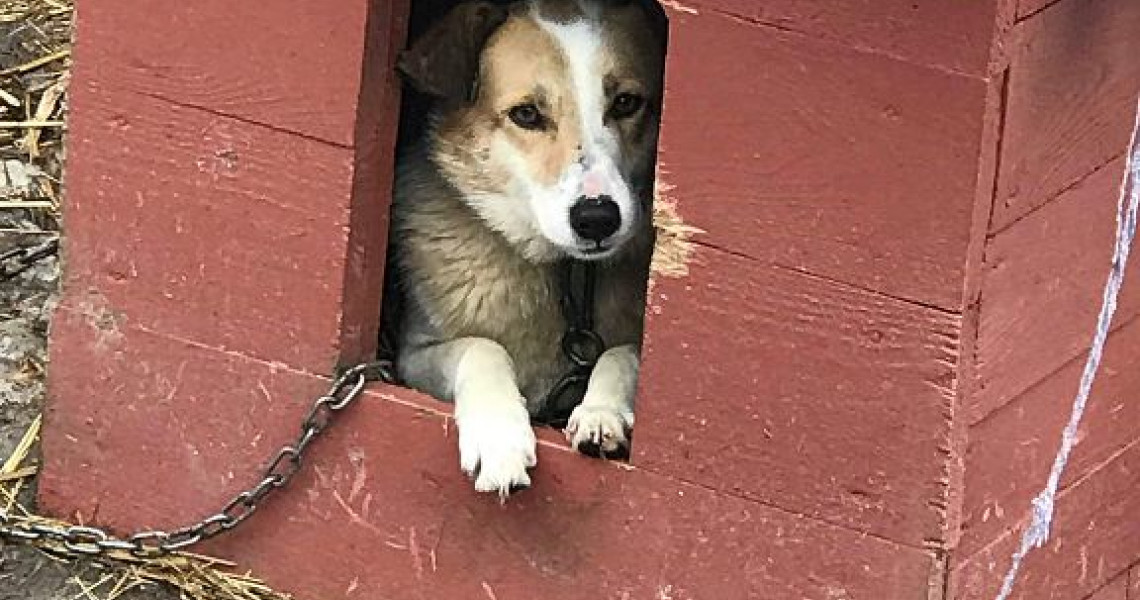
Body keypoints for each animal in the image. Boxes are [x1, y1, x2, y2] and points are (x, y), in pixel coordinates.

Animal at [387, 0, 665, 499]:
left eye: (626, 103)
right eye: (527, 115)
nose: (597, 218)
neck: (566, 276)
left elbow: (624, 352)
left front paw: (601, 410)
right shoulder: (413, 354)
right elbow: (482, 347)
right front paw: (498, 439)